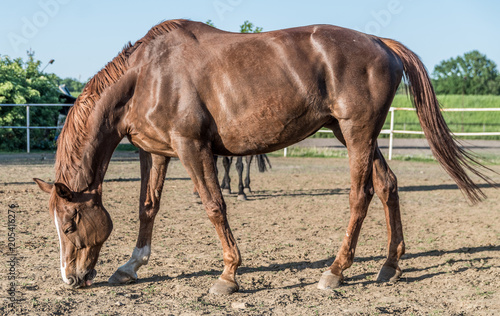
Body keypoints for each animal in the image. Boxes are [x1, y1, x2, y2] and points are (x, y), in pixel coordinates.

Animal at [33, 19, 494, 294]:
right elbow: (149, 206)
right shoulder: (155, 152)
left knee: (360, 195)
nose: (70, 279)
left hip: (357, 134)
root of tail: (382, 43)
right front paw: (131, 266)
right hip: (351, 134)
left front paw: (228, 275)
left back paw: (335, 271)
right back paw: (389, 265)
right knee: (387, 186)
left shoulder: (191, 147)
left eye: (70, 223)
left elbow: (214, 206)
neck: (147, 75)